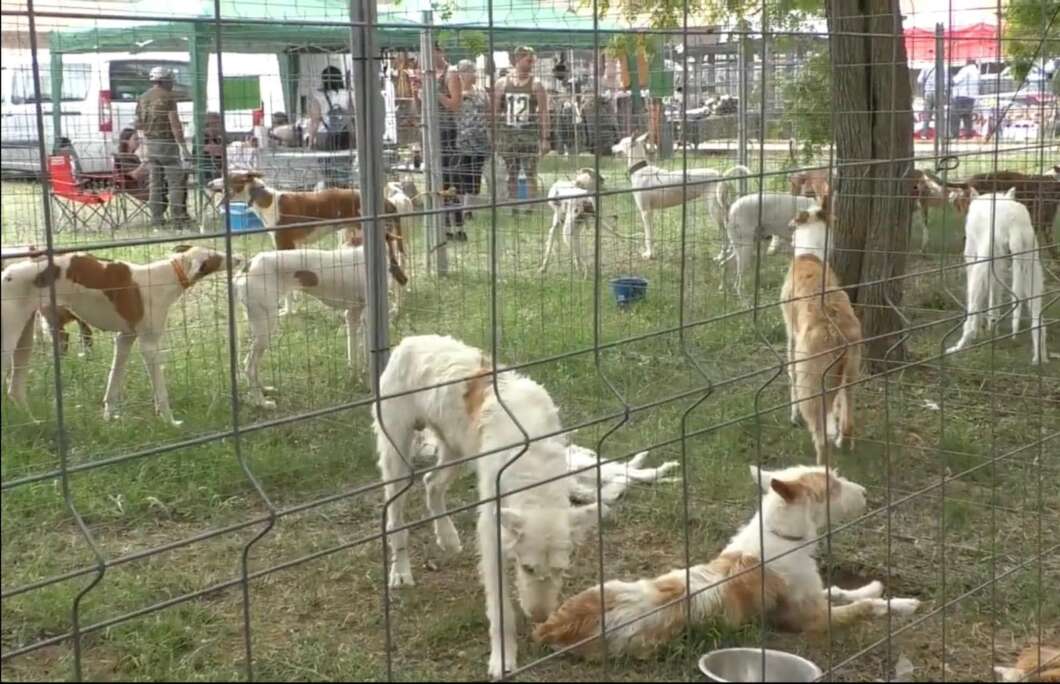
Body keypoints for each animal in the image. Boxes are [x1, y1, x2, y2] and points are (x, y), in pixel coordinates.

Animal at [1, 242, 238, 424]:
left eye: (215, 250)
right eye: (217, 257)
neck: (169, 274)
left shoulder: (125, 339)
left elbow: (113, 385)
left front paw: (109, 418)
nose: (239, 257)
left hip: (24, 339)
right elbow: (161, 393)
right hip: (11, 341)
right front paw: (170, 422)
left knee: (14, 390)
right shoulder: (149, 346)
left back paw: (33, 422)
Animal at [377, 332, 602, 678]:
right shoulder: (491, 532)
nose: (539, 617)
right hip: (397, 460)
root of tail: (410, 340)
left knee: (432, 484)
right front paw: (503, 658)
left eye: (560, 569)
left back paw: (447, 536)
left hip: (456, 449)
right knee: (396, 520)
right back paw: (400, 572)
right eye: (527, 568)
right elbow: (500, 609)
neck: (534, 460)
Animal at [945, 189, 1043, 362]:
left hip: (982, 264)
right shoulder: (999, 264)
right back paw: (1039, 358)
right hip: (1031, 265)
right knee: (1038, 321)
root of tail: (1013, 221)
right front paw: (993, 326)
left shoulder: (972, 257)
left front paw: (986, 328)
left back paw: (959, 346)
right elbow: (995, 296)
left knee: (971, 313)